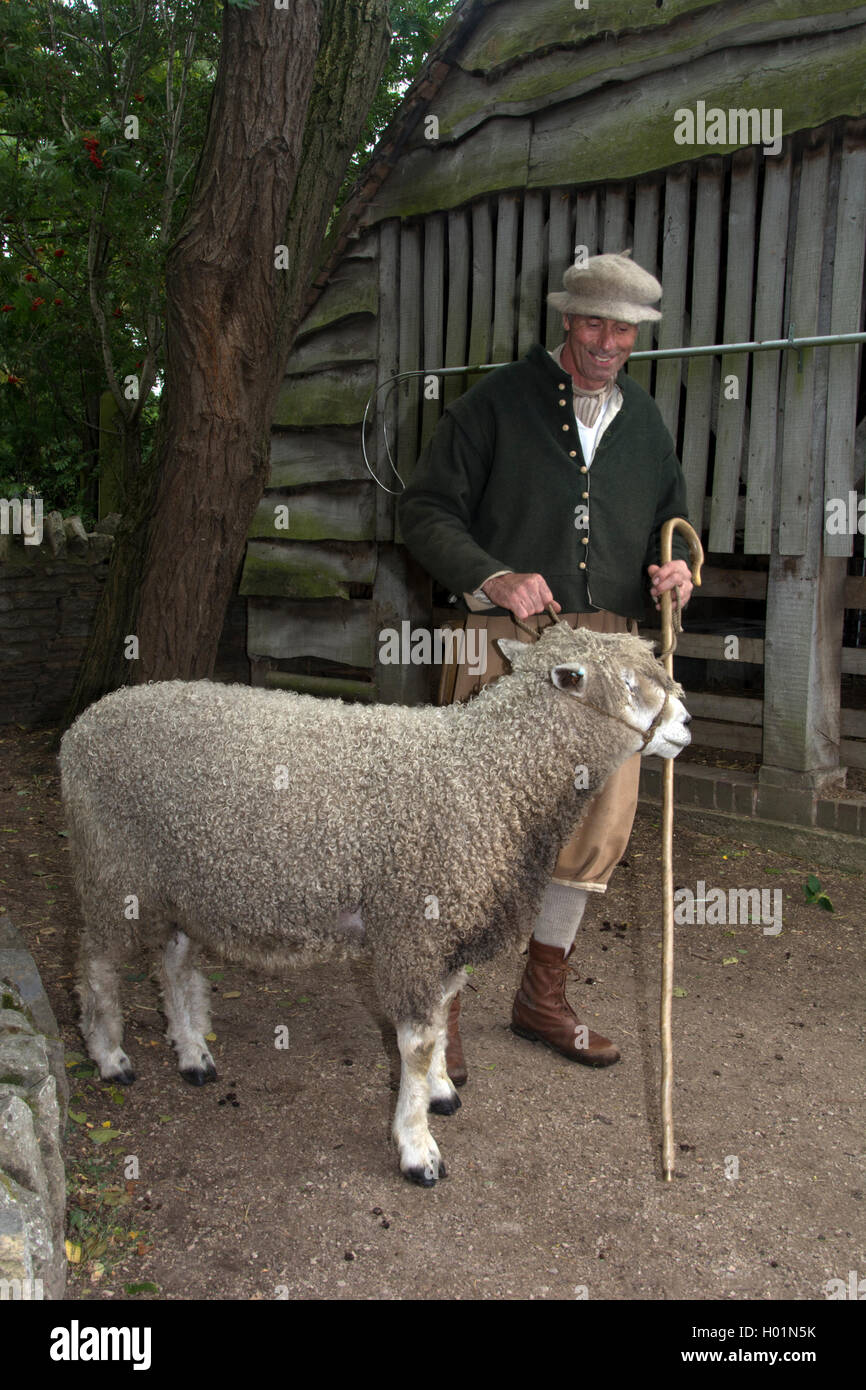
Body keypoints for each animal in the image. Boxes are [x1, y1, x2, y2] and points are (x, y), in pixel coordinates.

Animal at [59, 625, 692, 1189]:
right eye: (628, 684)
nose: (686, 725)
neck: (488, 775)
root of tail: (85, 724)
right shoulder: (415, 927)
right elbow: (416, 1044)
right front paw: (417, 1149)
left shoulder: (443, 932)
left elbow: (442, 1016)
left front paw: (439, 1092)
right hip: (112, 870)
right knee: (96, 963)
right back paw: (110, 1056)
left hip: (186, 881)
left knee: (173, 963)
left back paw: (192, 1055)